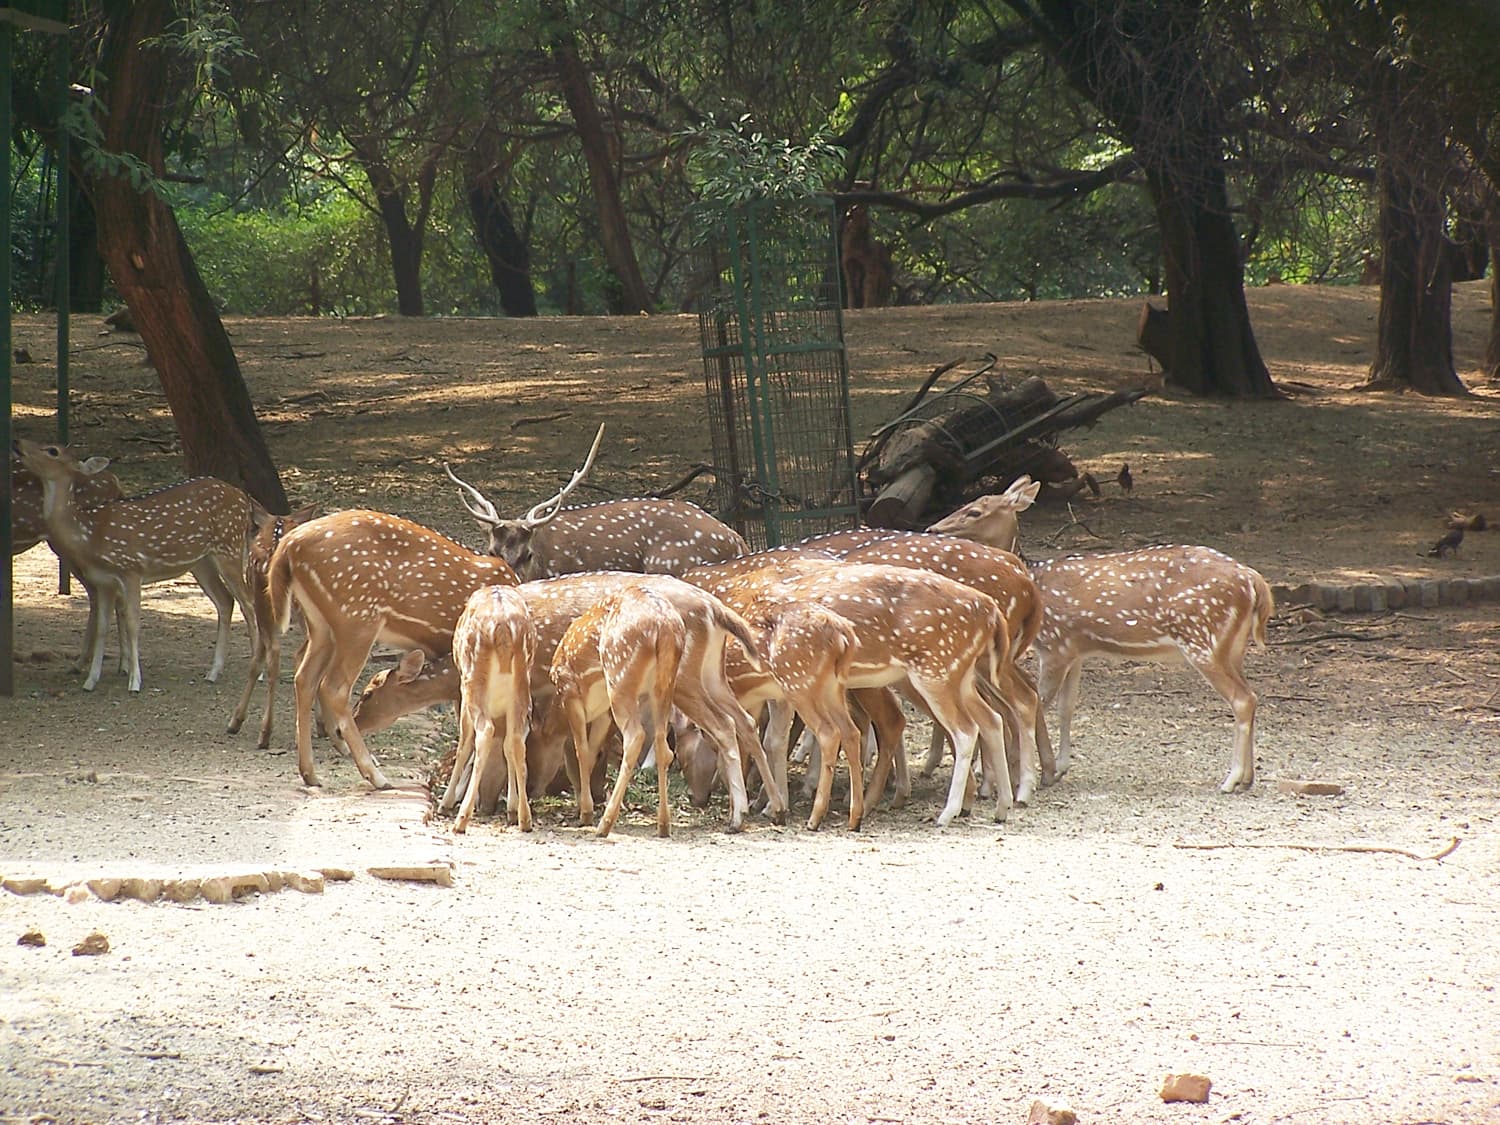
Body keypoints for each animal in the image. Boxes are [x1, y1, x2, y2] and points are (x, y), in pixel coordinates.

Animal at [14, 439, 257, 694]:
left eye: (53, 450)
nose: (17, 442)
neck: (90, 534)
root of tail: (244, 498)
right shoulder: (103, 581)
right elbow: (103, 626)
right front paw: (90, 681)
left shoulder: (131, 569)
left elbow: (133, 623)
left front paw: (134, 682)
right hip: (201, 562)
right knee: (225, 601)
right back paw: (213, 672)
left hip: (230, 546)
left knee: (248, 602)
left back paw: (256, 671)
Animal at [227, 503, 319, 749]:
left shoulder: (261, 612)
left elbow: (255, 661)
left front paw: (235, 721)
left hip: (269, 607)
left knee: (277, 656)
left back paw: (265, 733)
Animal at [265, 509, 518, 791]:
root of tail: (289, 545)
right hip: (357, 617)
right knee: (333, 686)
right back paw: (375, 775)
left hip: (321, 625)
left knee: (304, 677)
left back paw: (310, 773)